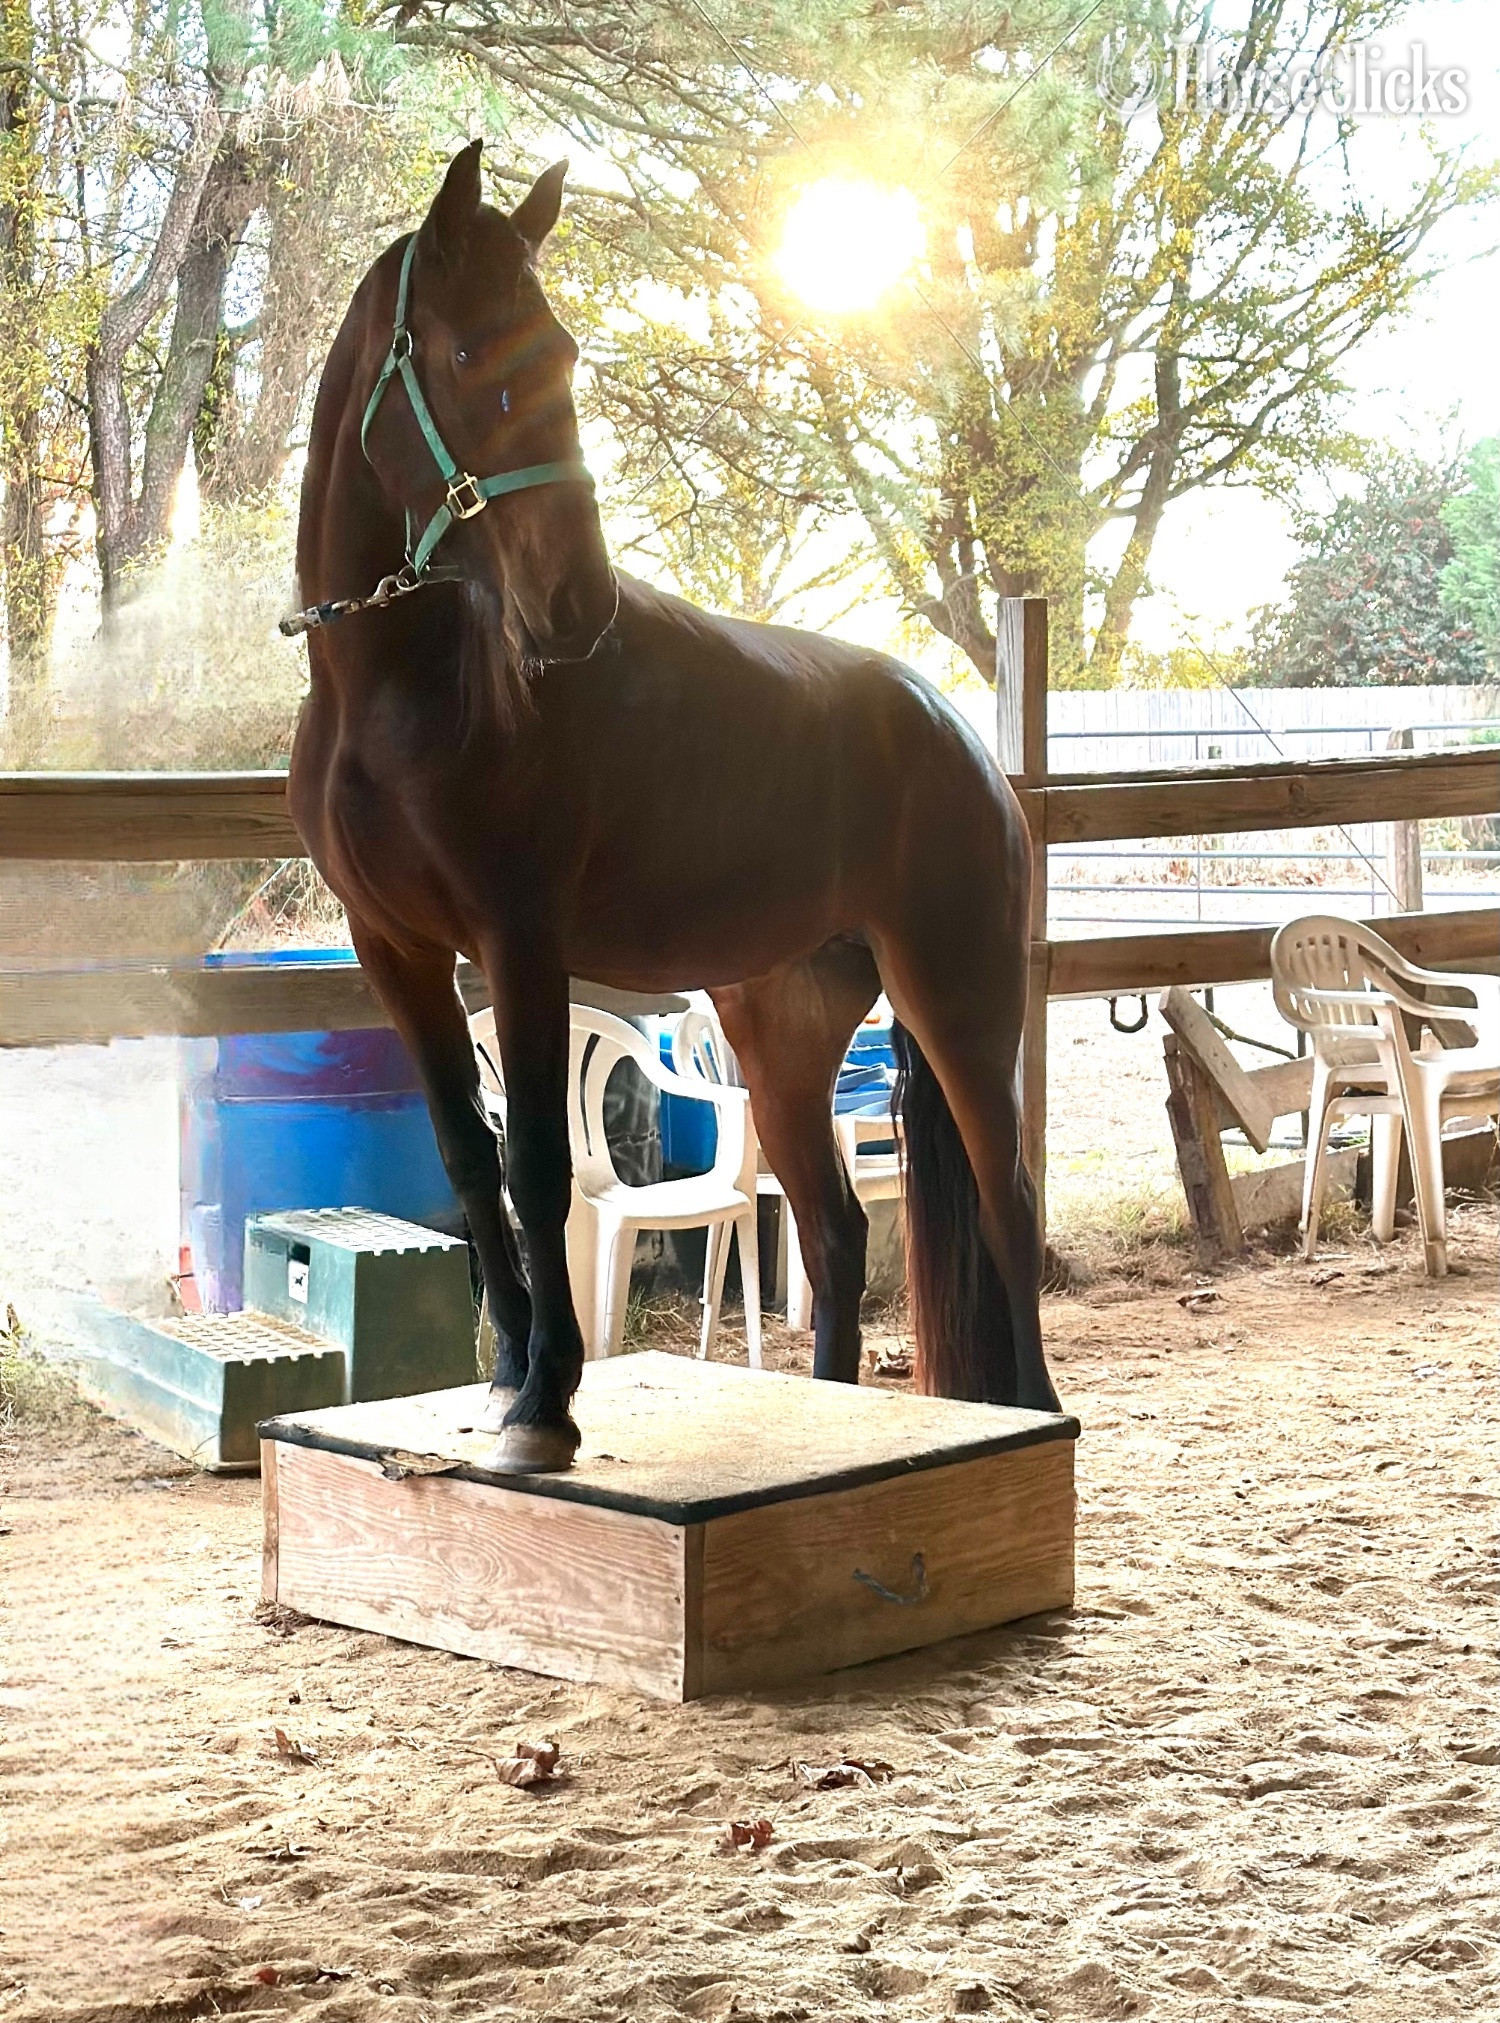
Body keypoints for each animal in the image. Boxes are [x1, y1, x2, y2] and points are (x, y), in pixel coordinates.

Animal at [288, 139, 1060, 1472]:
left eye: (563, 354)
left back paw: (1033, 1412)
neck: (389, 687)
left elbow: (540, 1164)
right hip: (785, 1033)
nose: (576, 606)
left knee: (1007, 1207)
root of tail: (955, 731)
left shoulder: (520, 944)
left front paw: (549, 1398)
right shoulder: (395, 951)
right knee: (836, 1234)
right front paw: (504, 1377)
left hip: (960, 999)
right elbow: (468, 1155)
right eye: (469, 357)